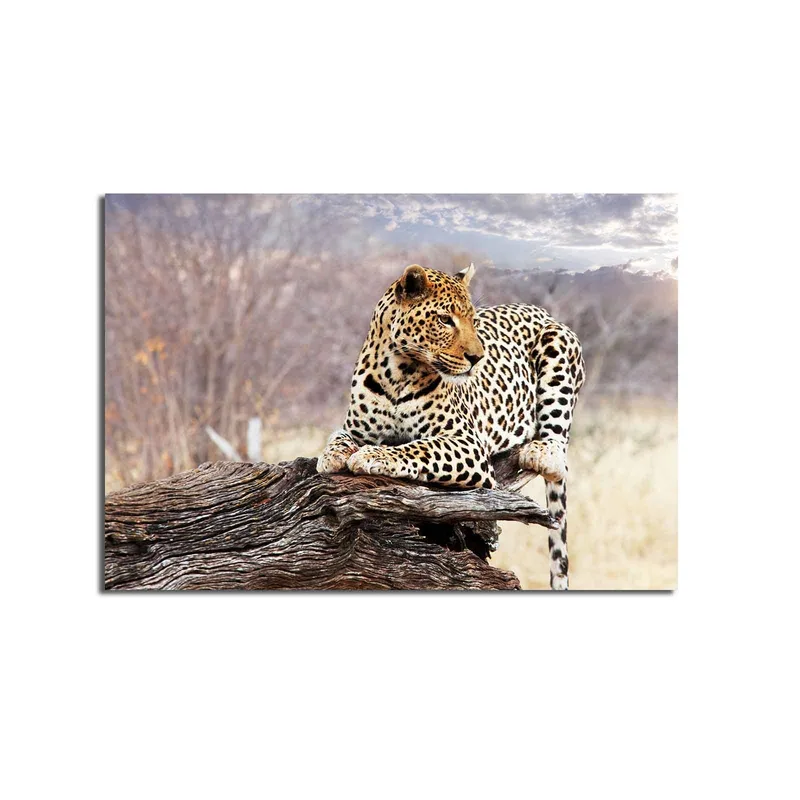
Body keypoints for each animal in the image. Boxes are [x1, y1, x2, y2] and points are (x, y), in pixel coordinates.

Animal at [317, 262, 585, 590]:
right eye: (445, 320)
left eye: (473, 321)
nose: (477, 358)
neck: (397, 372)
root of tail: (541, 310)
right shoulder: (354, 428)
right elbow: (339, 437)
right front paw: (331, 456)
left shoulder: (467, 443)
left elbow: (419, 448)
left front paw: (373, 455)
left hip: (558, 345)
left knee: (558, 452)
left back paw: (541, 452)